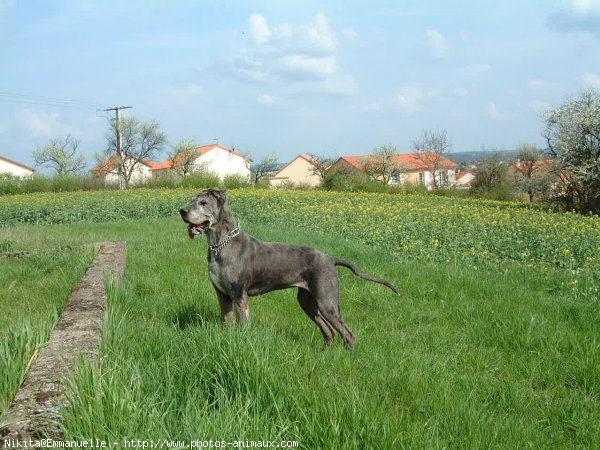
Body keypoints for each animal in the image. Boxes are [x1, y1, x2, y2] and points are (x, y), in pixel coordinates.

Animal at [179, 188, 398, 350]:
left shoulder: (239, 296)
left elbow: (242, 325)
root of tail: (330, 258)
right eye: (192, 200)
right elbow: (226, 322)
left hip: (327, 301)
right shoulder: (222, 294)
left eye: (203, 203)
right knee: (329, 331)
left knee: (348, 334)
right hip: (307, 302)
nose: (182, 211)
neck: (220, 244)